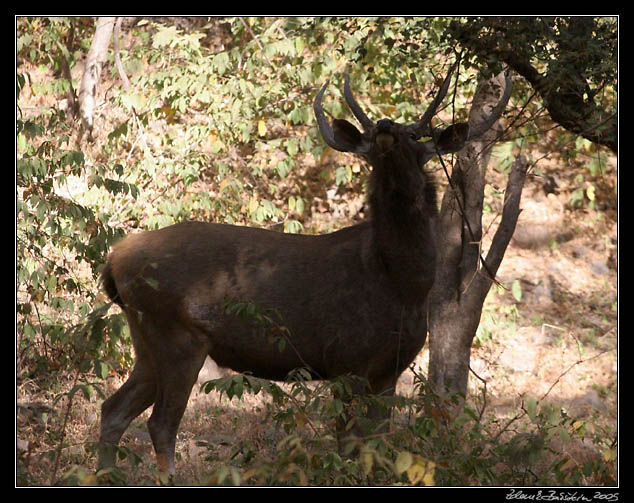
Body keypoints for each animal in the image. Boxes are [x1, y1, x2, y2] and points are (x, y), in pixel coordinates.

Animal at [96, 64, 512, 476]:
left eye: (414, 135)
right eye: (371, 137)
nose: (384, 126)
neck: (402, 284)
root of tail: (115, 259)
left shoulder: (389, 370)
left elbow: (378, 446)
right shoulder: (346, 360)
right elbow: (348, 448)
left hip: (147, 340)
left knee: (113, 408)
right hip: (176, 334)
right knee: (160, 423)